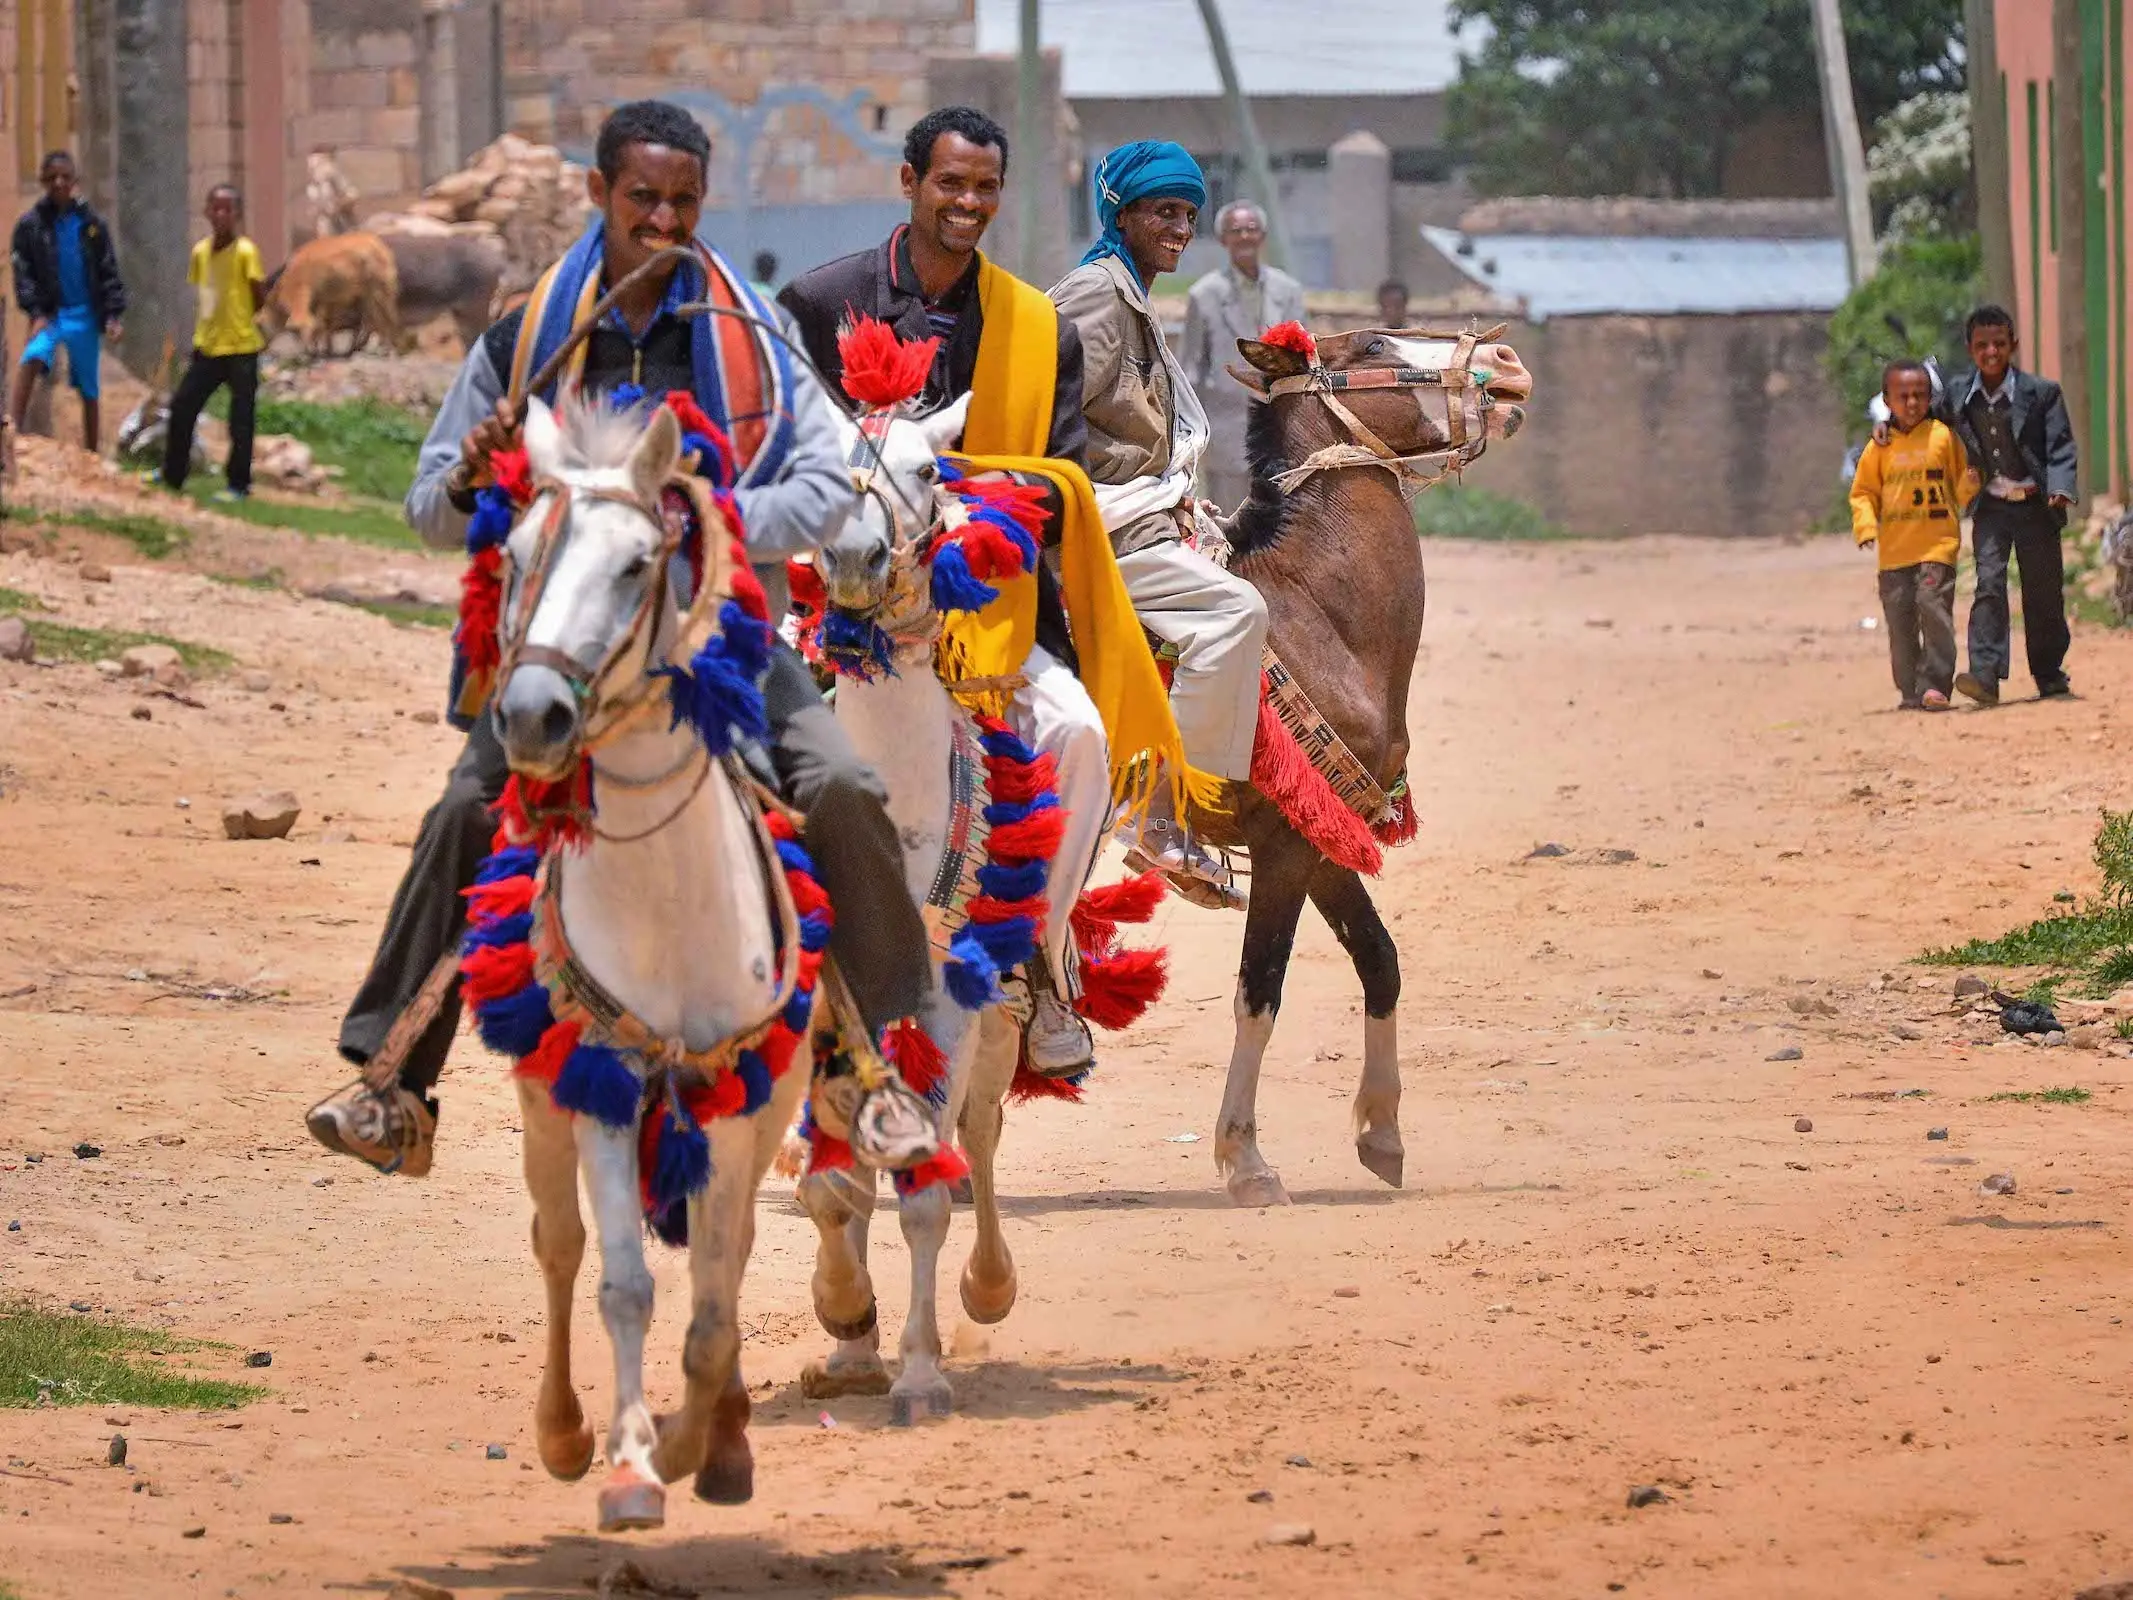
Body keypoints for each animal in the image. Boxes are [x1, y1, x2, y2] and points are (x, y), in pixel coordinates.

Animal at [484, 394, 806, 1536]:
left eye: (637, 563)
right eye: (515, 553)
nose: (532, 714)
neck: (666, 895)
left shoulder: (738, 1097)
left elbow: (714, 1302)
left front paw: (698, 1445)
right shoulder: (607, 1086)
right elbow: (624, 1283)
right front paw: (629, 1463)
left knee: (733, 1252)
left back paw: (729, 1435)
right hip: (544, 1105)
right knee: (557, 1243)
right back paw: (563, 1432)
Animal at [1203, 322, 1535, 1203]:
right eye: (1377, 345)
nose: (1506, 362)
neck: (1315, 617)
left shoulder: (1325, 838)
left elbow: (1379, 961)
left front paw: (1381, 1131)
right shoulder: (1284, 842)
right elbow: (1259, 990)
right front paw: (1244, 1159)